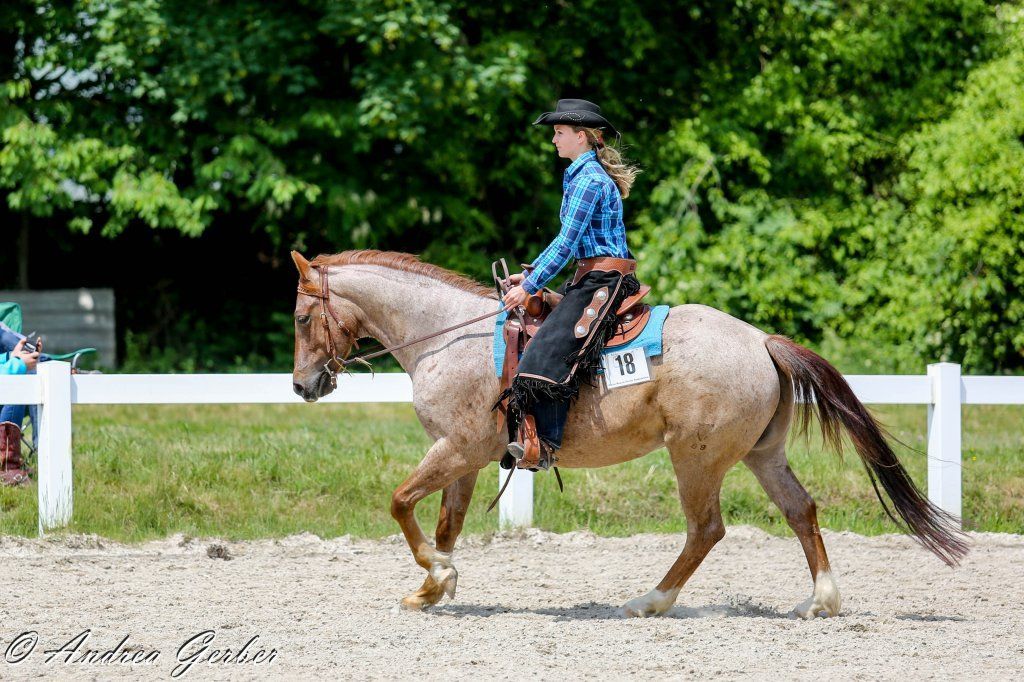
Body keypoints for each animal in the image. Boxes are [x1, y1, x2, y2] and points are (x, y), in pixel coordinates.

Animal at [289, 249, 967, 618]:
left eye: (300, 316)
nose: (302, 385)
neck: (449, 337)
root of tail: (760, 341)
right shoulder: (468, 457)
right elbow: (445, 523)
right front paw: (435, 586)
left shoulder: (456, 448)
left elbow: (401, 502)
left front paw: (434, 575)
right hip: (761, 454)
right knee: (801, 510)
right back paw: (820, 600)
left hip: (697, 459)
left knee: (706, 529)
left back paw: (651, 601)